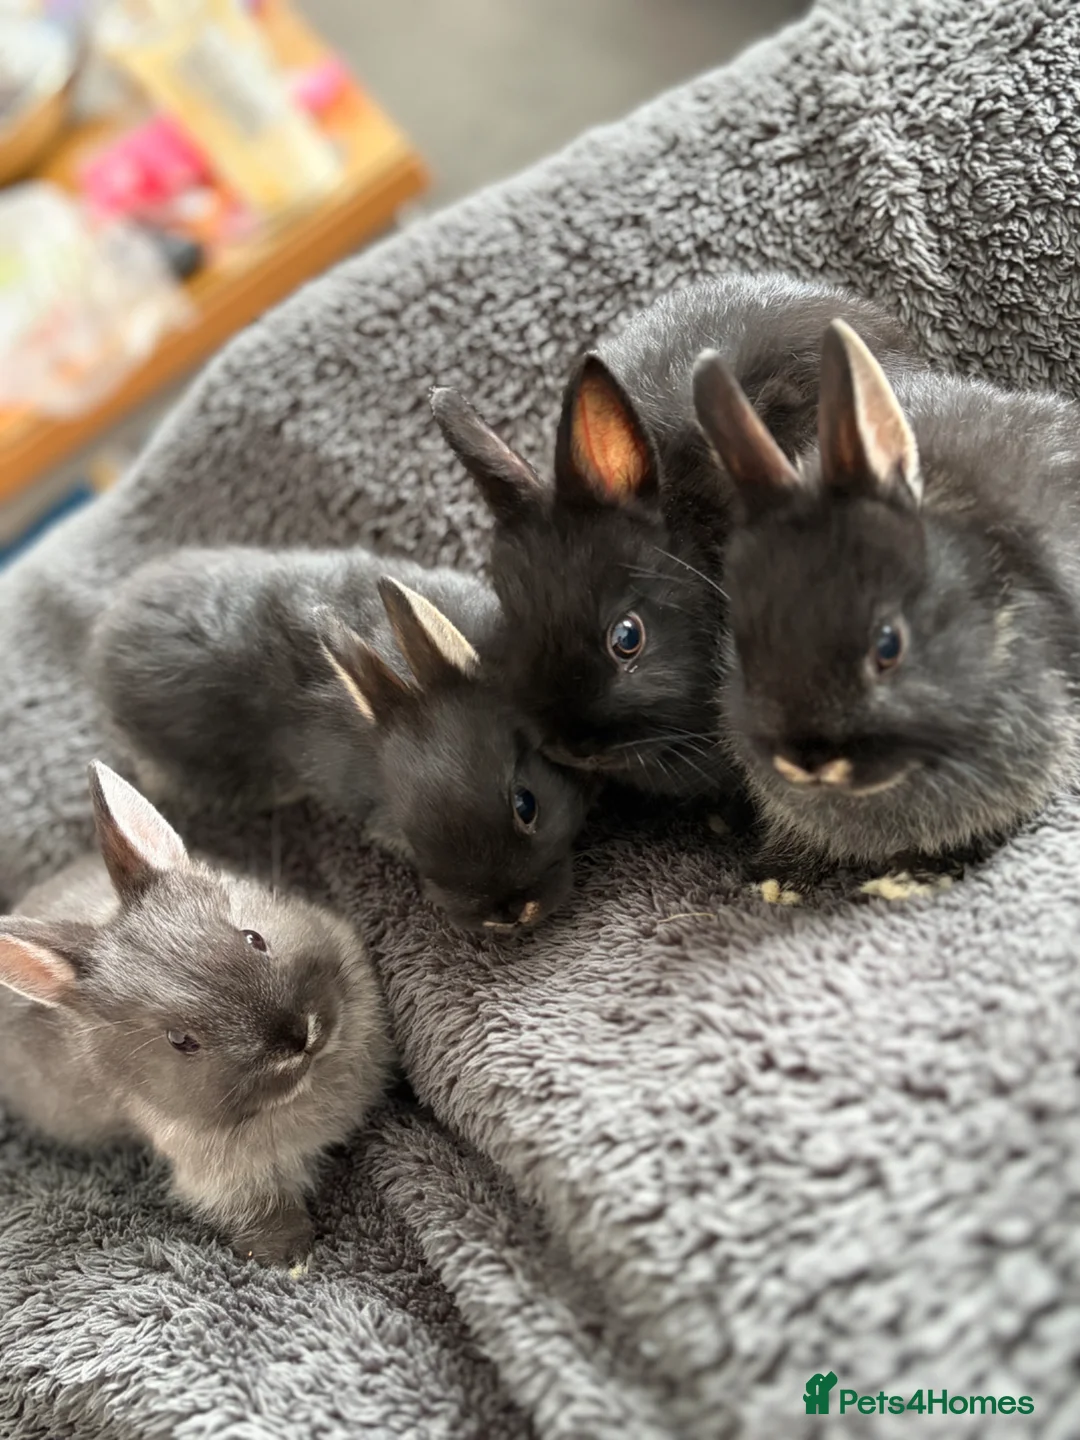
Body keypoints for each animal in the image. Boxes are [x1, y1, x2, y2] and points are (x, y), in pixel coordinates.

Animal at [0, 762, 393, 1266]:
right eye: (179, 1040)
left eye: (253, 938)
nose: (296, 1037)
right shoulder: (227, 1178)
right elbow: (265, 1210)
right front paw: (291, 1258)